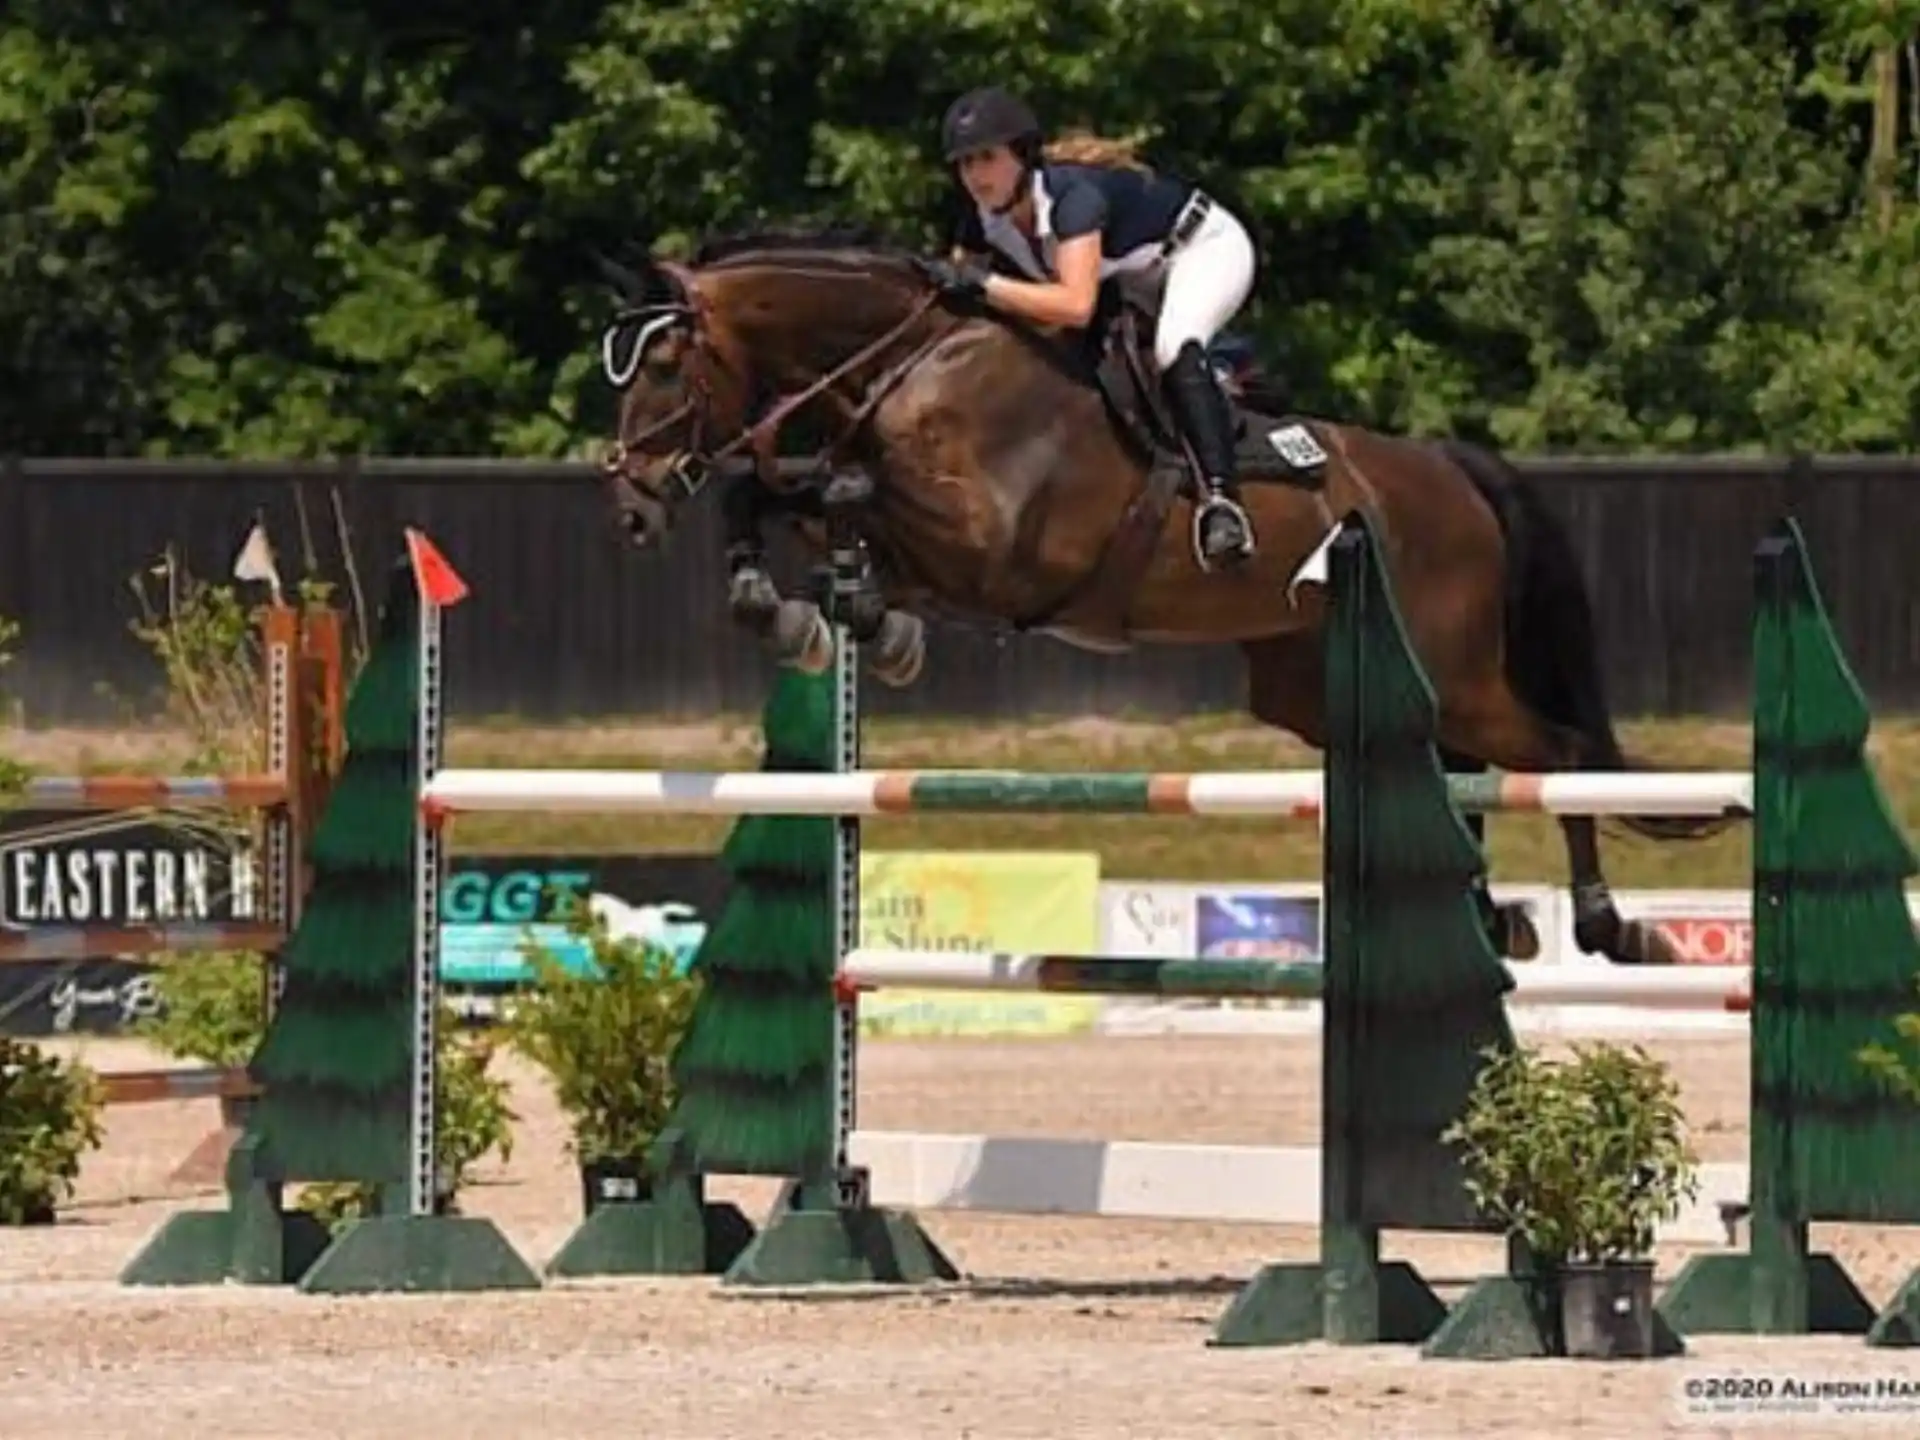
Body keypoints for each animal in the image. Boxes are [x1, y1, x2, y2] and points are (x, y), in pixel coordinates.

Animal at [593, 226, 1724, 967]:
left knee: (1556, 754)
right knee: (1455, 769)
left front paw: (866, 621)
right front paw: (790, 608)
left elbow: (839, 493)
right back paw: (1490, 916)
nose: (632, 507)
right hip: (1319, 688)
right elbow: (780, 492)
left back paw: (1605, 924)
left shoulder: (994, 548)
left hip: (1459, 671)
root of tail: (1451, 470)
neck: (918, 360)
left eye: (664, 361)